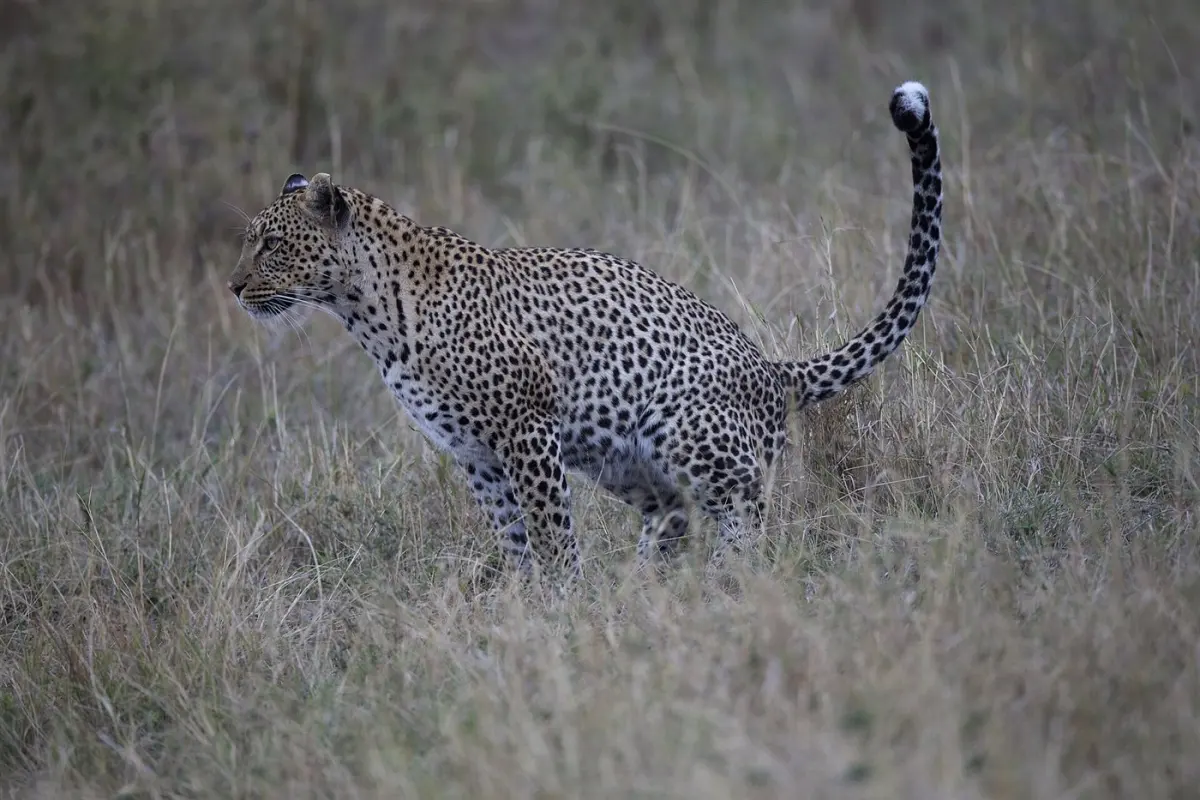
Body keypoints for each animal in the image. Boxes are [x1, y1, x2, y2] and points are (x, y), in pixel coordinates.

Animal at [226, 81, 943, 580]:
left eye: (271, 245)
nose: (233, 288)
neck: (367, 313)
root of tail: (773, 368)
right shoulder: (475, 455)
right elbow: (515, 540)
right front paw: (527, 610)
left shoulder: (526, 430)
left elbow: (552, 534)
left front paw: (564, 606)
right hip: (619, 459)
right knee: (673, 516)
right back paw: (644, 589)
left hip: (684, 432)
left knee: (745, 514)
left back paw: (721, 587)